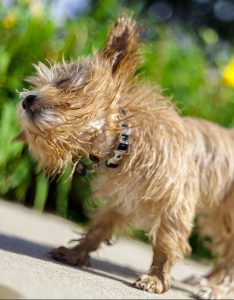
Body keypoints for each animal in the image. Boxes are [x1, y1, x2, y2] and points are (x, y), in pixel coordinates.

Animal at [17, 11, 234, 300]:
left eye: (64, 83)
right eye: (40, 83)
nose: (26, 99)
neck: (125, 144)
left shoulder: (174, 203)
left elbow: (166, 244)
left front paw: (155, 279)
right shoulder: (121, 200)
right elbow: (98, 228)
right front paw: (76, 253)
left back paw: (217, 287)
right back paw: (208, 278)